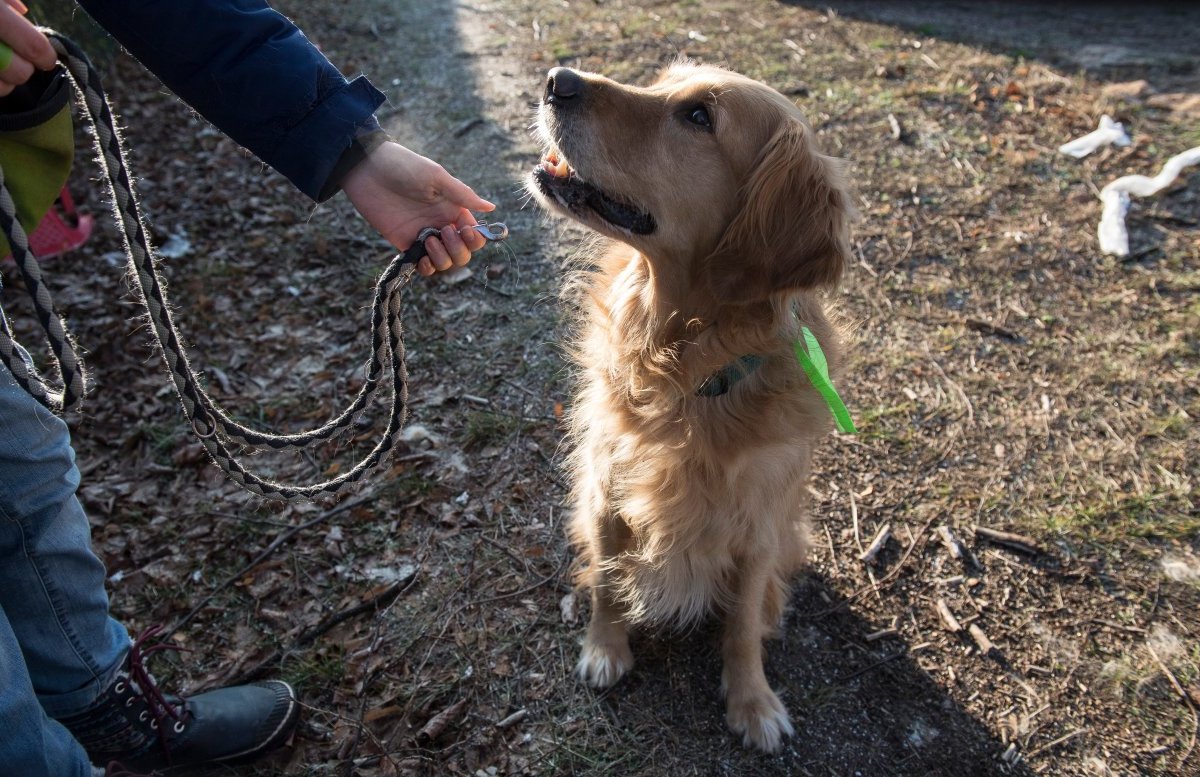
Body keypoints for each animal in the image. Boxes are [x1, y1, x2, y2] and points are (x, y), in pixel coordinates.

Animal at [525, 57, 854, 748]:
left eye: (699, 116)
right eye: (660, 82)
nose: (557, 79)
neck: (687, 376)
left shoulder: (758, 525)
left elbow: (741, 625)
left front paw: (752, 700)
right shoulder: (607, 490)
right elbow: (608, 581)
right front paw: (604, 648)